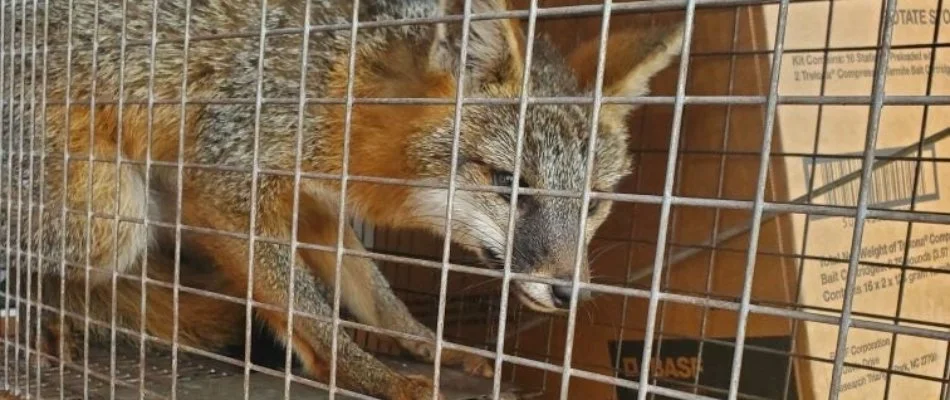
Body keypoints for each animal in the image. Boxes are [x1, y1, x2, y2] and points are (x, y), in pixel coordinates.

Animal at [0, 0, 684, 398]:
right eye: (510, 184)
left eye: (594, 204)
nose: (570, 293)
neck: (349, 74)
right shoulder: (229, 182)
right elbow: (310, 312)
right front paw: (374, 378)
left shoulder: (316, 198)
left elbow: (371, 291)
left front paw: (428, 346)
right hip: (113, 213)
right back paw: (52, 318)